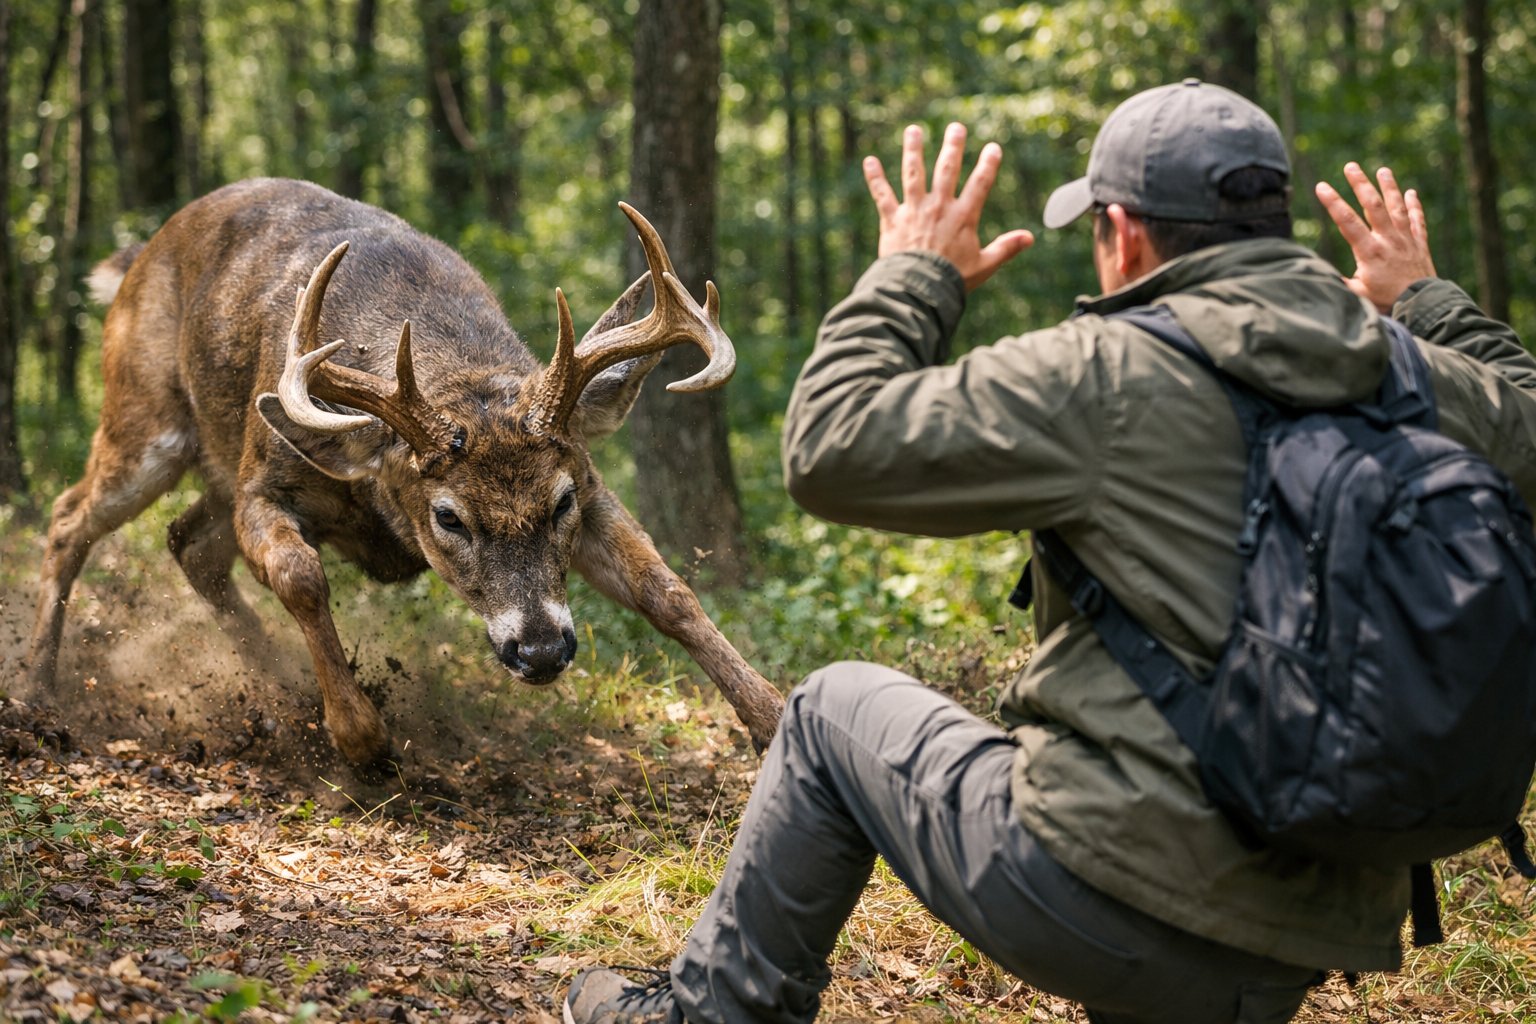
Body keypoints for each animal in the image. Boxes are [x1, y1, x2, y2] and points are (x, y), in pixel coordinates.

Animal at [25, 177, 785, 777]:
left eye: (560, 500)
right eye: (449, 516)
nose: (540, 650)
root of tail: (141, 253)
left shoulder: (595, 487)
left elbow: (668, 590)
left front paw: (771, 715)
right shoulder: (262, 481)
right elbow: (301, 576)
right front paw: (362, 739)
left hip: (207, 462)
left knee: (188, 544)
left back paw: (277, 684)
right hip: (146, 419)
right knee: (69, 517)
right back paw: (36, 692)